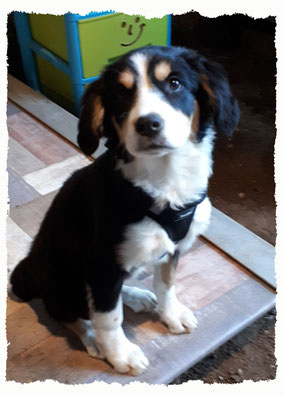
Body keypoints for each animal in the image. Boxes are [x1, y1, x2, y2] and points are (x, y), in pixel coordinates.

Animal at [10, 45, 240, 374]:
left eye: (174, 83)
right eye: (121, 94)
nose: (148, 124)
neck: (165, 181)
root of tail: (27, 269)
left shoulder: (172, 248)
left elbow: (166, 283)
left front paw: (171, 314)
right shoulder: (102, 260)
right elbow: (109, 317)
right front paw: (120, 353)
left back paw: (136, 296)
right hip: (63, 278)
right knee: (69, 311)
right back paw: (93, 339)